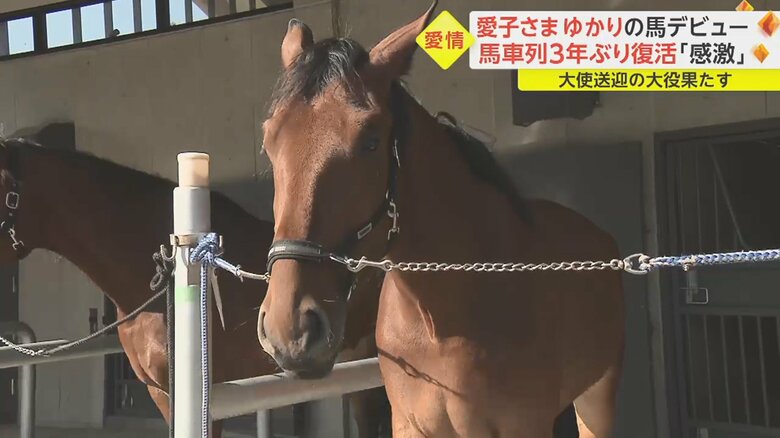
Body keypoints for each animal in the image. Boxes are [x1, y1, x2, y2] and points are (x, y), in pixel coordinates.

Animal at [255, 3, 625, 437]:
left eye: (370, 141)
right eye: (270, 142)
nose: (290, 330)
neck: (441, 321)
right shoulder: (409, 424)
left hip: (597, 398)